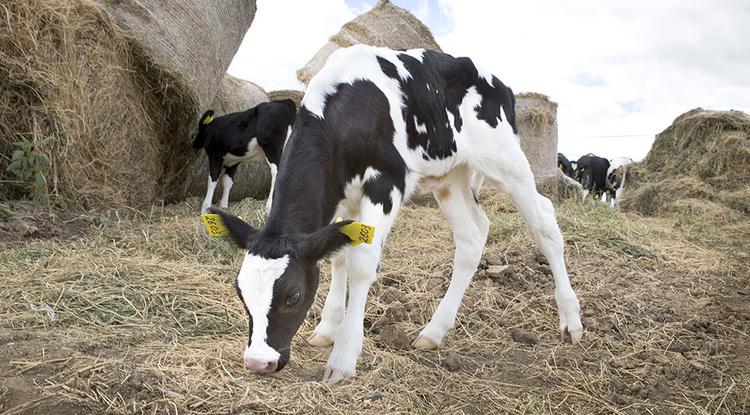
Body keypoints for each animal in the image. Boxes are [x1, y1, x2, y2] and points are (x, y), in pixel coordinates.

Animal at [209, 44, 584, 386]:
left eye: (294, 296)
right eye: (240, 292)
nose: (259, 361)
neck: (348, 107)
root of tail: (497, 82)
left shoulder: (386, 183)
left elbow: (361, 263)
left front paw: (343, 357)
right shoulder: (339, 197)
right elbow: (336, 257)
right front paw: (327, 328)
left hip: (507, 161)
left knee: (544, 223)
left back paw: (571, 321)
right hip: (451, 175)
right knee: (472, 235)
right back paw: (434, 331)